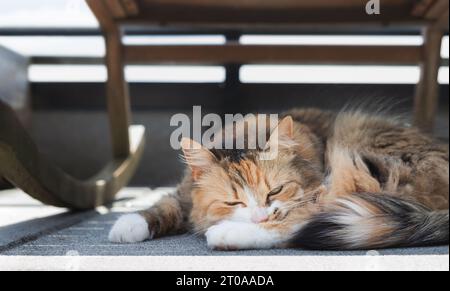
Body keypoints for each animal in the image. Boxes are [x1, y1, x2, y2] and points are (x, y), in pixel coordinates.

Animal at [107, 109, 448, 251]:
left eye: (276, 191)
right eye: (233, 200)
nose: (258, 215)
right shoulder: (186, 192)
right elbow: (166, 204)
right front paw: (129, 225)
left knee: (308, 221)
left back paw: (227, 234)